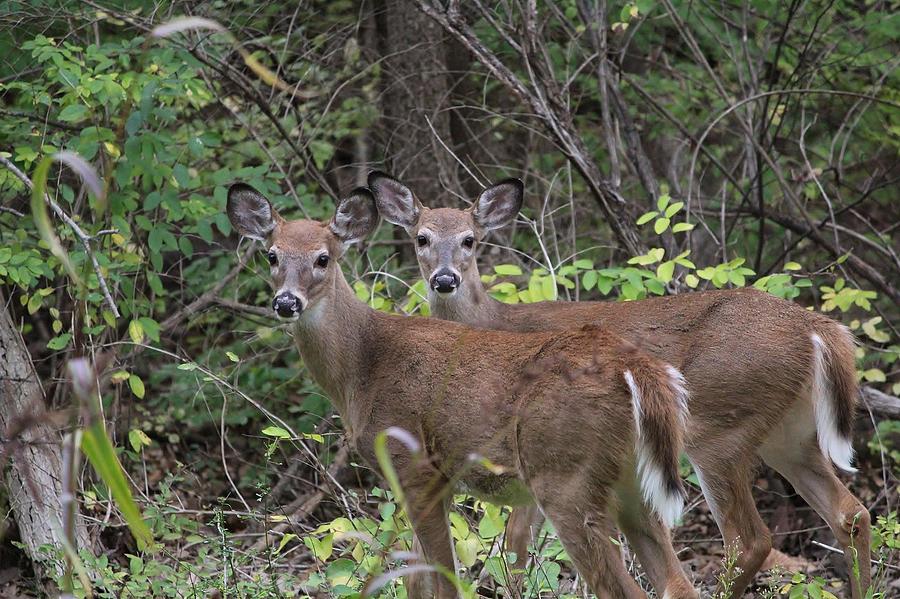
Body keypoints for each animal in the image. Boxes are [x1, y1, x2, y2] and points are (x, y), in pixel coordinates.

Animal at [223, 183, 696, 599]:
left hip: (565, 475)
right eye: (271, 255)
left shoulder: (414, 463)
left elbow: (444, 583)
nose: (286, 302)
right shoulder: (437, 481)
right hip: (633, 483)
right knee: (678, 583)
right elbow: (416, 581)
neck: (362, 368)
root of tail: (634, 368)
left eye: (323, 258)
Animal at [366, 170, 872, 599]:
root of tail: (816, 327)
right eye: (421, 237)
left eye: (469, 240)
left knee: (750, 540)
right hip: (787, 430)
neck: (491, 324)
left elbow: (516, 541)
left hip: (718, 428)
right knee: (851, 513)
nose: (444, 279)